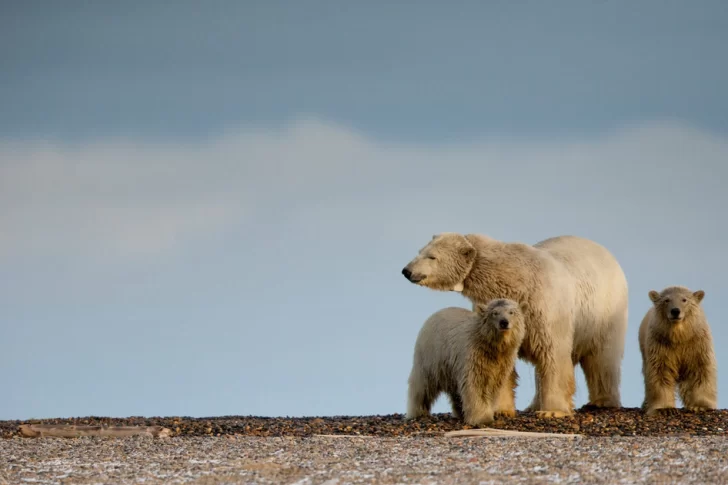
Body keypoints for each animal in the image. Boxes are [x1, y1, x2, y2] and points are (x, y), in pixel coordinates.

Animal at [400, 233, 628, 418]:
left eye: (432, 256)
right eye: (420, 251)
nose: (406, 271)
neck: (513, 278)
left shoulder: (545, 310)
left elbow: (552, 354)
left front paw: (553, 411)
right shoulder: (491, 310)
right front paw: (500, 409)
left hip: (605, 310)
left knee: (602, 357)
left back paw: (602, 401)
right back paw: (533, 404)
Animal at [636, 286, 716, 414]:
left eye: (684, 300)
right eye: (666, 300)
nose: (675, 311)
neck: (679, 337)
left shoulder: (696, 344)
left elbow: (700, 370)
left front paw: (700, 406)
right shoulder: (660, 345)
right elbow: (661, 372)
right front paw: (665, 409)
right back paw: (646, 404)